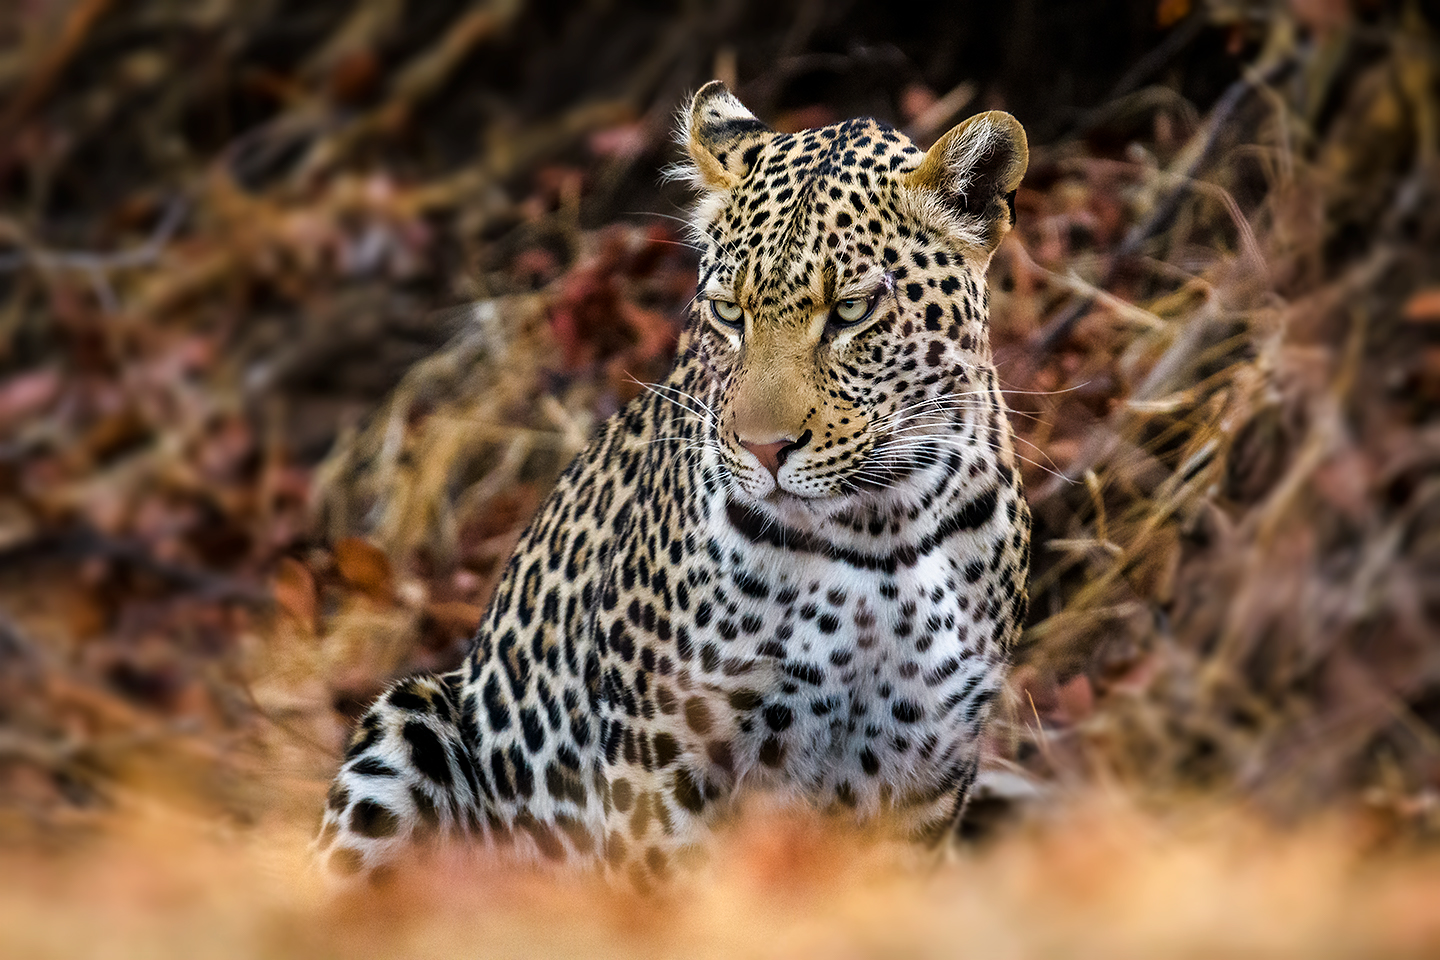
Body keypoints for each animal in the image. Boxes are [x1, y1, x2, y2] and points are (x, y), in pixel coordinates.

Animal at [313, 81, 1032, 890]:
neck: (879, 531)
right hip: (409, 722)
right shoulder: (660, 760)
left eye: (851, 311)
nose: (763, 448)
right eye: (728, 313)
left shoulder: (928, 771)